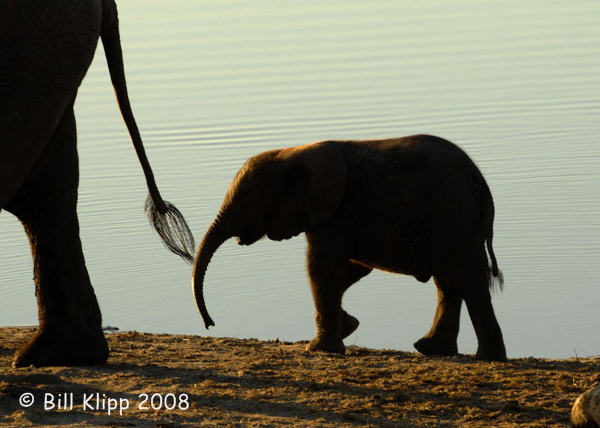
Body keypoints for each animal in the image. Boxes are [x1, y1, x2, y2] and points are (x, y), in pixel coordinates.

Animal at [191, 135, 506, 362]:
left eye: (246, 202)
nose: (210, 324)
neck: (292, 153)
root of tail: (484, 189)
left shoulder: (337, 211)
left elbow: (322, 266)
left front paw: (321, 349)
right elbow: (351, 268)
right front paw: (349, 326)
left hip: (453, 218)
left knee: (468, 281)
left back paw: (486, 357)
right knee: (450, 283)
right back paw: (433, 350)